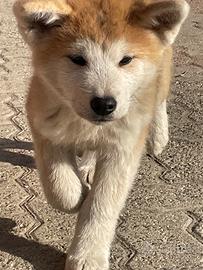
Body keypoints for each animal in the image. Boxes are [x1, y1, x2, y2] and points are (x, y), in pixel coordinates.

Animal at [13, 1, 190, 268]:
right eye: (78, 59)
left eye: (126, 60)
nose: (104, 104)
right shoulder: (43, 121)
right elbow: (59, 187)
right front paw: (77, 195)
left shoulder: (123, 147)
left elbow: (102, 204)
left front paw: (88, 255)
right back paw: (86, 165)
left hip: (161, 66)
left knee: (160, 94)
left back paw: (158, 136)